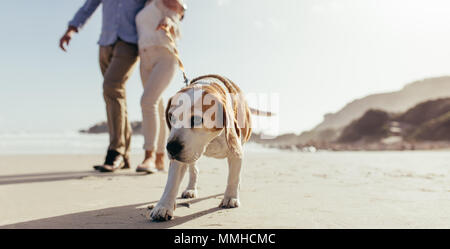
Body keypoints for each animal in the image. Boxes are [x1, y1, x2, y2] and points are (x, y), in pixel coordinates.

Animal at [149, 74, 268, 222]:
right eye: (171, 117)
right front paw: (163, 206)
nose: (171, 148)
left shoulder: (236, 151)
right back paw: (190, 189)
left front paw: (230, 197)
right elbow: (171, 183)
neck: (211, 140)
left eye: (197, 119)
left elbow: (234, 177)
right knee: (194, 170)